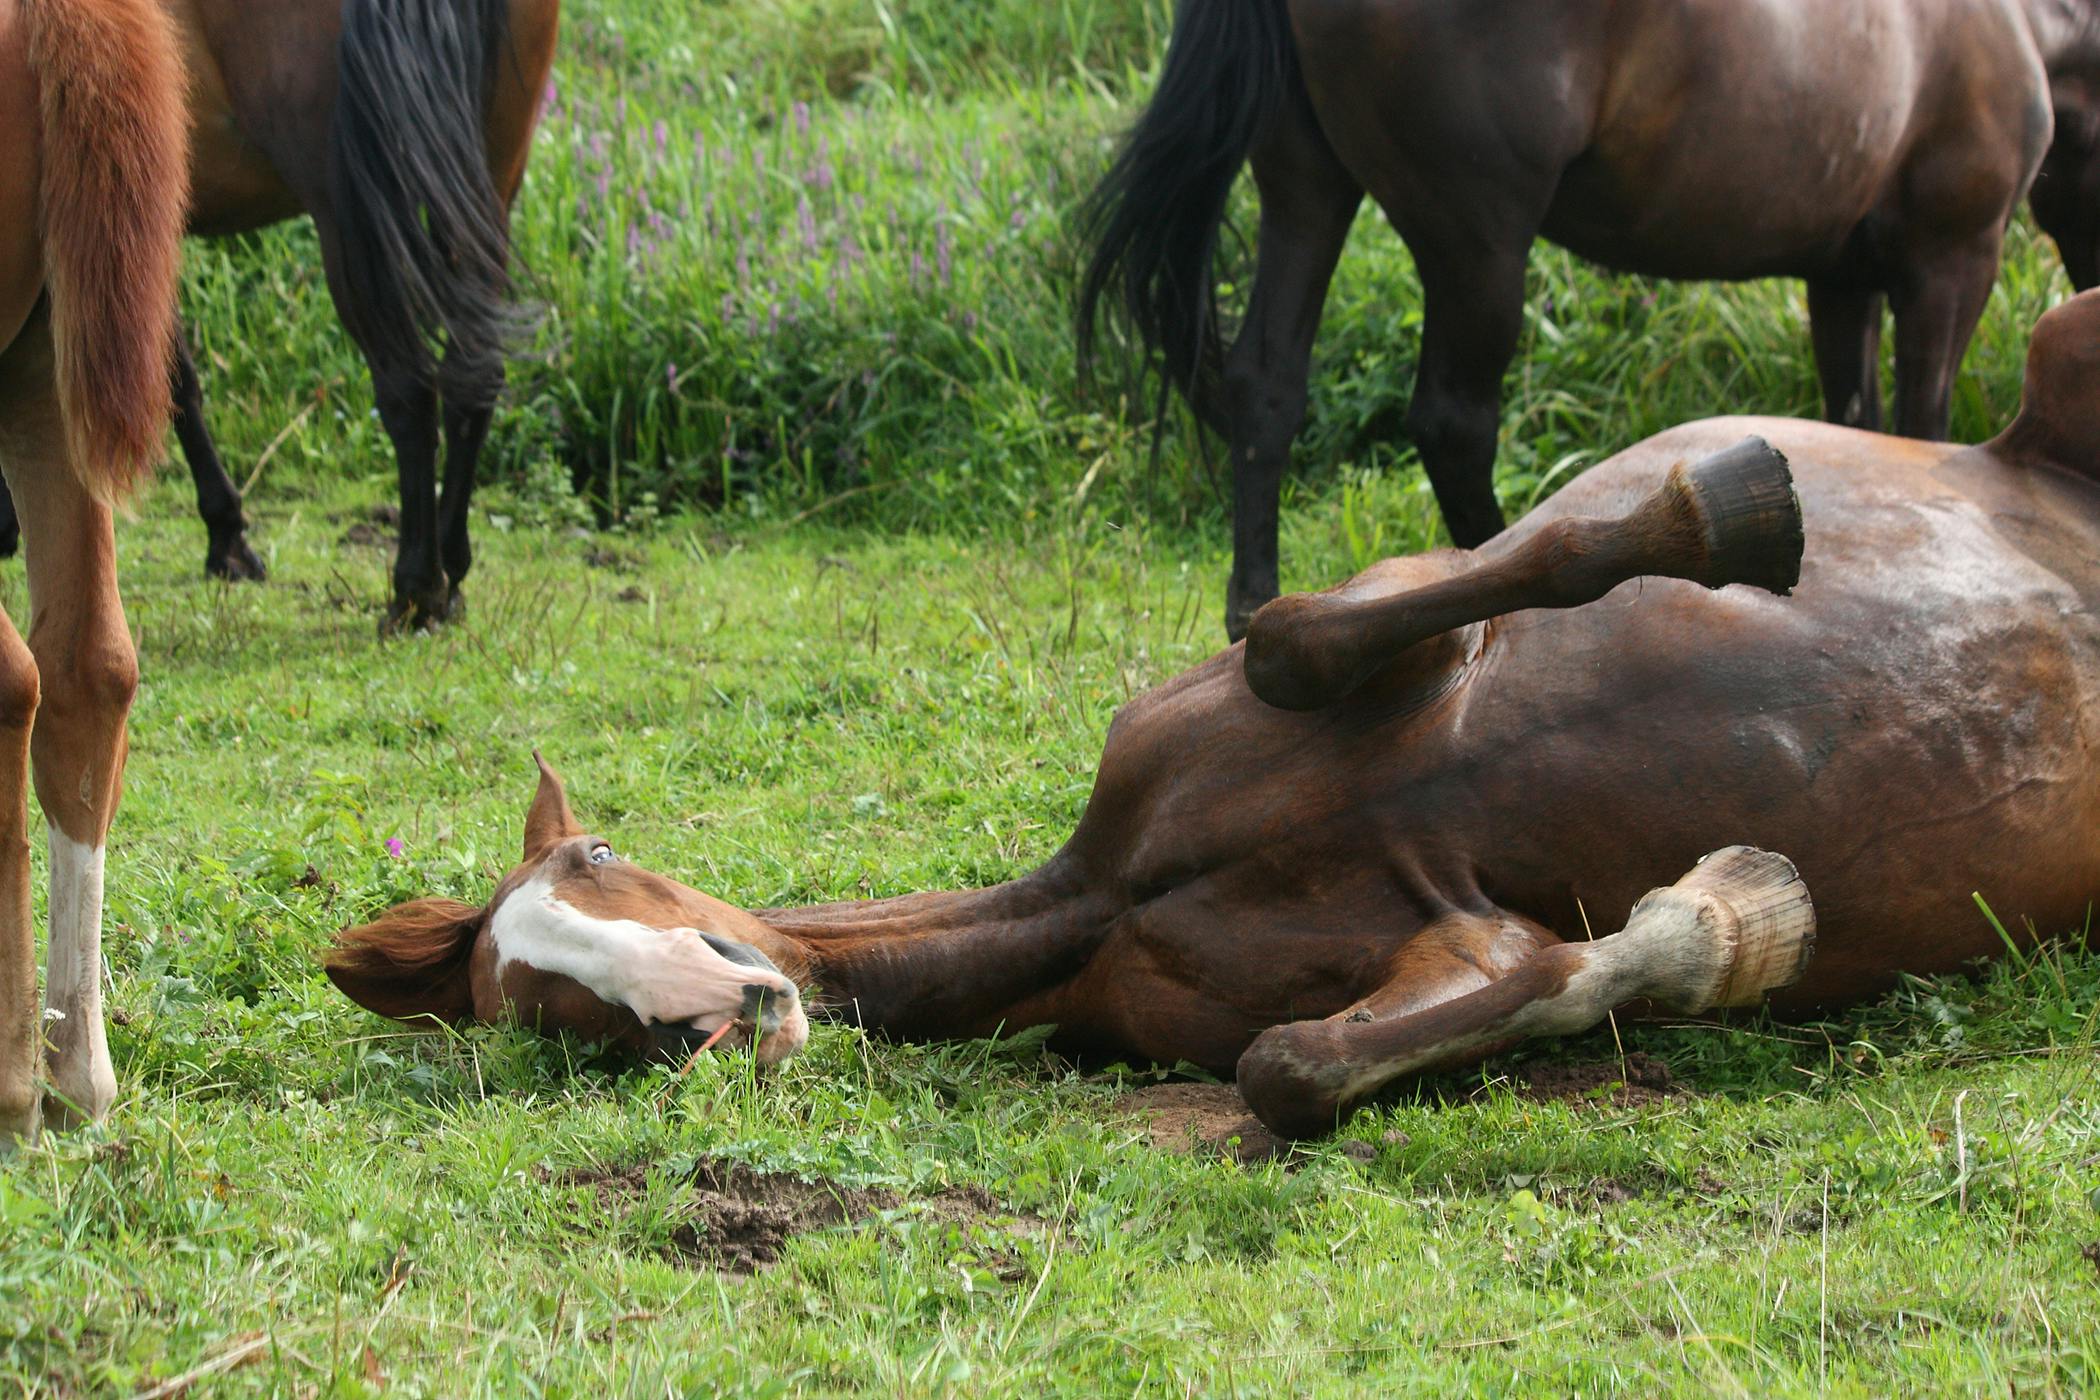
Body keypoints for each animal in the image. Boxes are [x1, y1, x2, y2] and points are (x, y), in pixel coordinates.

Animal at [0, 0, 558, 629]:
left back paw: (416, 589)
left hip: (351, 220)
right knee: (473, 379)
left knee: (409, 391)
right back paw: (452, 571)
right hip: (490, 192)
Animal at [315, 293, 2100, 1141]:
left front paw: (1732, 510)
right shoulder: (1465, 940)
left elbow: (1309, 631)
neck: (1117, 895)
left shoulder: (1420, 633)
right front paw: (1732, 918)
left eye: (602, 853)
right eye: (559, 1019)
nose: (732, 1009)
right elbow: (1317, 1060)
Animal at [1083, 0, 2100, 638]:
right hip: (1478, 239)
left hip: (1305, 186)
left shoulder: (1840, 281)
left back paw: (1251, 606)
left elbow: (1857, 416)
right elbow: (1924, 426)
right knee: (1453, 420)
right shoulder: (1951, 262)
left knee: (1267, 387)